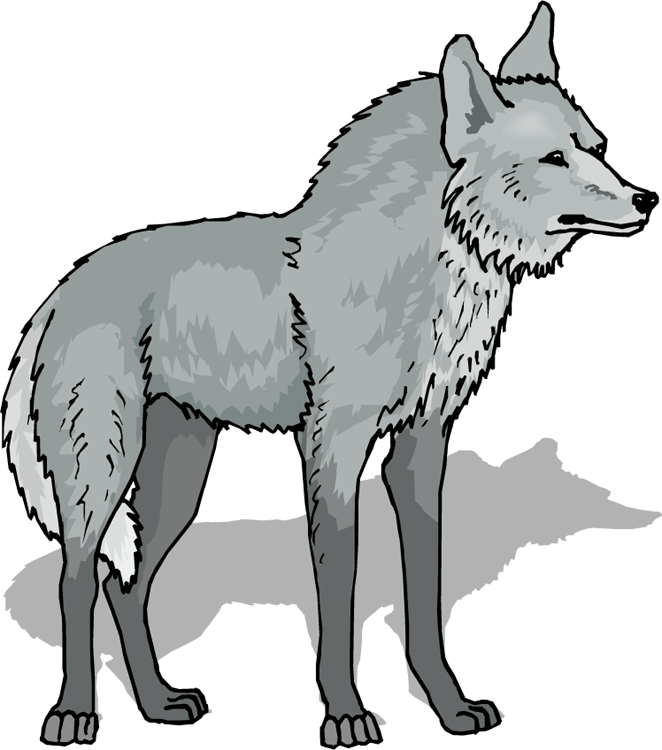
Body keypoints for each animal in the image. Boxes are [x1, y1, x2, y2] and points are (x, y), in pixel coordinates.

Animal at [2, 1, 658, 746]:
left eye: (596, 147)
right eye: (553, 158)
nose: (647, 199)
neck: (430, 276)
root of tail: (65, 286)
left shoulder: (421, 448)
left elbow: (425, 592)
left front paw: (450, 709)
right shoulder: (332, 446)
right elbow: (338, 589)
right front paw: (345, 714)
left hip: (180, 476)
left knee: (126, 584)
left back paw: (158, 704)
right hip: (102, 469)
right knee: (77, 576)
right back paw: (73, 712)